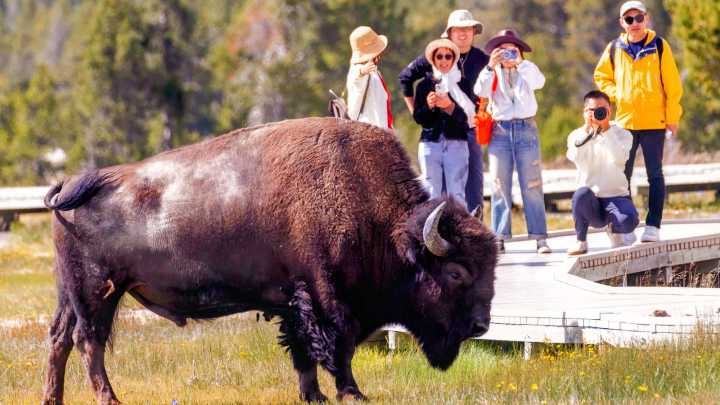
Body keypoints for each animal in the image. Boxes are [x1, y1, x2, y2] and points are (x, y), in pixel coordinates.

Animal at [41, 117, 497, 404]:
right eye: (456, 272)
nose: (481, 325)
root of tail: (75, 184)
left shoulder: (292, 301)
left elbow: (303, 352)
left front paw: (313, 396)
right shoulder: (325, 298)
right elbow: (338, 347)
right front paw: (352, 393)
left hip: (72, 293)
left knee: (60, 338)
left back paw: (53, 399)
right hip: (99, 291)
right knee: (89, 341)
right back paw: (109, 399)